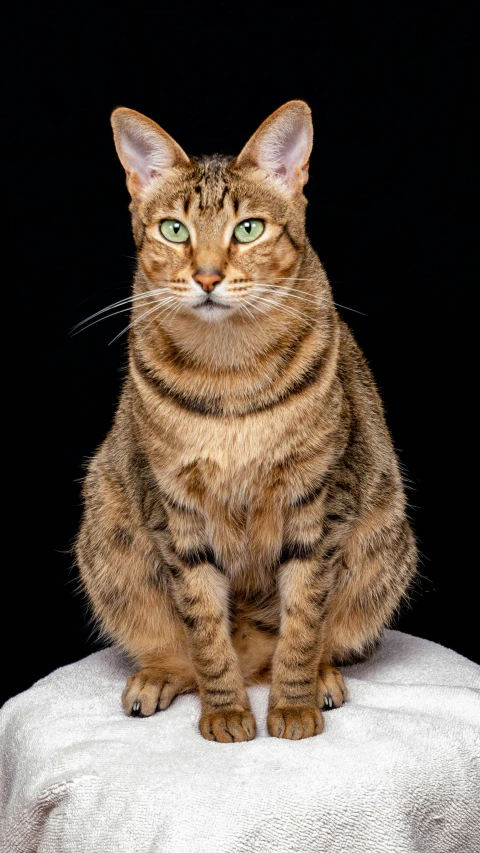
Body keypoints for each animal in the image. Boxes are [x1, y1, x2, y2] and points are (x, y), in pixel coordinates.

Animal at [76, 100, 416, 740]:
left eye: (248, 229)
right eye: (175, 230)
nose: (208, 276)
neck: (229, 377)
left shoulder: (320, 500)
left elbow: (304, 620)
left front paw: (293, 704)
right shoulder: (174, 510)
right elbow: (205, 629)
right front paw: (227, 711)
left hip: (386, 544)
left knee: (311, 636)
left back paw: (320, 677)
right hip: (108, 537)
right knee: (182, 646)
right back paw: (160, 676)